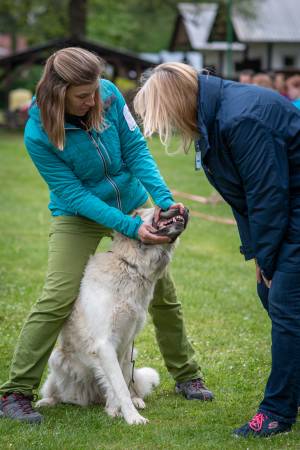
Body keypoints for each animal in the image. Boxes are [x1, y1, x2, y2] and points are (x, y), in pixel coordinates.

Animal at [35, 207, 185, 426]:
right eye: (155, 209)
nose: (182, 208)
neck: (131, 266)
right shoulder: (105, 344)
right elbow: (119, 385)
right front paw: (132, 417)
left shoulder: (122, 344)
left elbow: (120, 383)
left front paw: (117, 410)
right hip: (56, 359)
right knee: (56, 392)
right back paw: (47, 401)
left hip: (132, 353)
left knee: (130, 383)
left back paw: (135, 399)